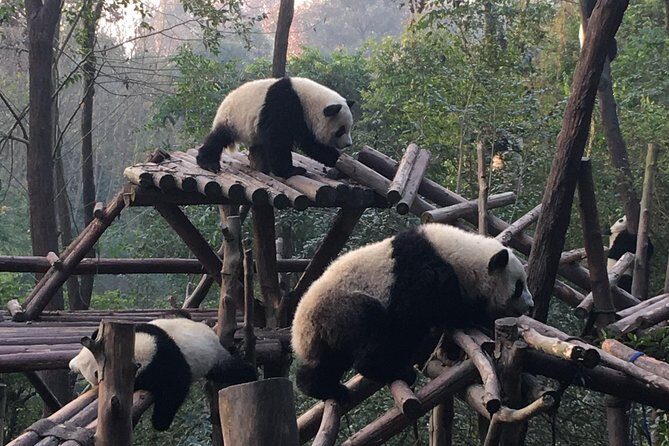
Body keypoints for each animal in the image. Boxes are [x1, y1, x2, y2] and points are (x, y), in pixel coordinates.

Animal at [69, 315, 257, 431]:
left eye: (92, 374)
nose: (72, 365)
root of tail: (214, 337)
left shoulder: (163, 362)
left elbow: (175, 386)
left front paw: (160, 423)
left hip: (214, 359)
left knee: (233, 371)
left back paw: (250, 376)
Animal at [196, 77, 355, 178]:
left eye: (349, 128)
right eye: (341, 130)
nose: (348, 144)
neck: (308, 100)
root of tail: (225, 101)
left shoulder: (303, 120)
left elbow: (312, 145)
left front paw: (341, 164)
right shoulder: (283, 104)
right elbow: (278, 140)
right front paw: (291, 171)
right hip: (233, 118)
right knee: (218, 138)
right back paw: (208, 163)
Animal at [292, 223, 534, 401]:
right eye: (518, 286)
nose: (530, 305)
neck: (462, 257)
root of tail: (300, 333)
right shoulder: (423, 275)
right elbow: (416, 316)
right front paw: (474, 317)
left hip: (328, 331)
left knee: (329, 361)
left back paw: (319, 386)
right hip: (342, 308)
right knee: (369, 327)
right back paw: (391, 371)